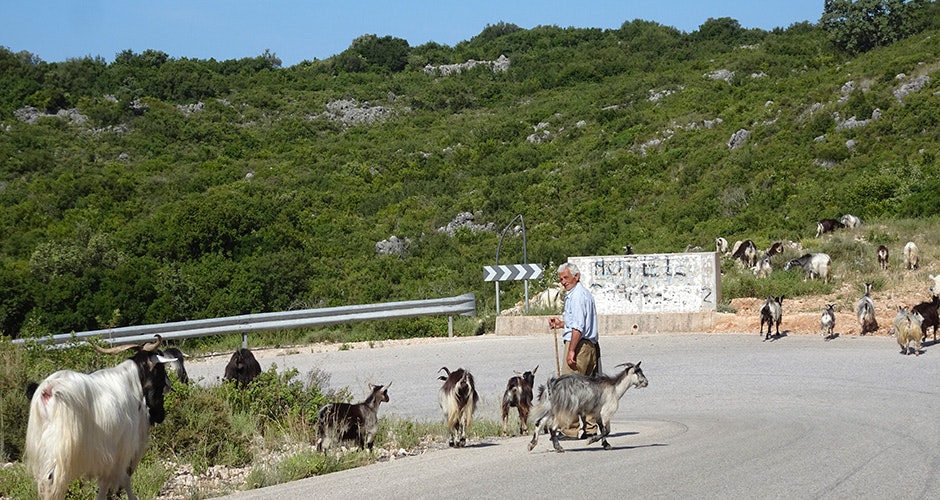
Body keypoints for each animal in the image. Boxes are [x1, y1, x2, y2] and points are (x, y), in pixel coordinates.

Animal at [25, 335, 176, 500]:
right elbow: (120, 478)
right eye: (160, 370)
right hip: (59, 447)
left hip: (42, 444)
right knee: (53, 479)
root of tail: (48, 391)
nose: (160, 415)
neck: (131, 381)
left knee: (45, 479)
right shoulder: (118, 448)